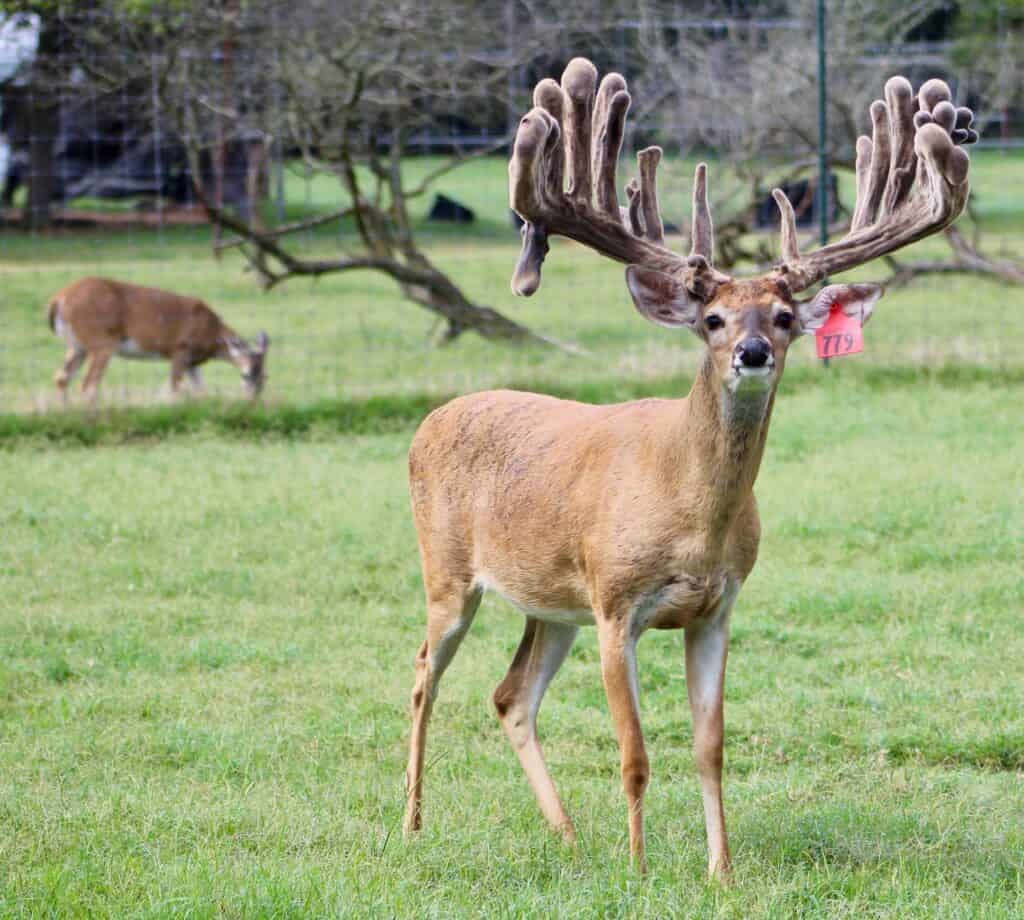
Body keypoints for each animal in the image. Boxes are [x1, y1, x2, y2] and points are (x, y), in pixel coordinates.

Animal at [47, 277, 269, 406]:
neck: (211, 332)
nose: (251, 401)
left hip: (78, 346)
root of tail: (59, 300)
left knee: (61, 377)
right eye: (245, 374)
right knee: (88, 384)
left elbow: (201, 391)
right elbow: (174, 388)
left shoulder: (192, 362)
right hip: (101, 342)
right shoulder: (180, 349)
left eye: (264, 377)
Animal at [403, 58, 975, 880]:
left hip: (552, 604)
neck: (691, 512)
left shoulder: (716, 608)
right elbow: (635, 753)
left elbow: (711, 748)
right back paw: (413, 823)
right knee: (423, 674)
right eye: (712, 319)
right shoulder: (617, 604)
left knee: (511, 696)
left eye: (784, 317)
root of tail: (430, 421)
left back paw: (568, 837)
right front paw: (641, 871)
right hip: (449, 573)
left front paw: (721, 872)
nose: (753, 352)